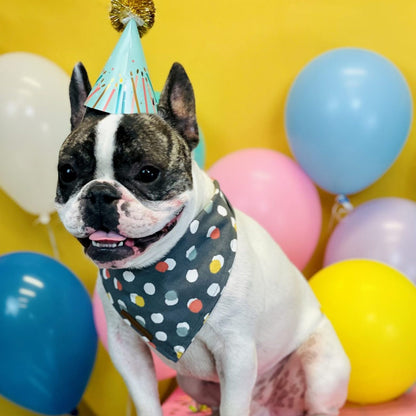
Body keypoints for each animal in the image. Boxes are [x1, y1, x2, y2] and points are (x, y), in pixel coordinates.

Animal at [54, 61, 348, 416]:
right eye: (67, 173)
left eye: (148, 173)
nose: (99, 193)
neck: (162, 275)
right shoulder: (127, 349)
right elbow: (147, 402)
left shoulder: (236, 353)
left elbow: (234, 405)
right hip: (190, 381)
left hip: (320, 368)